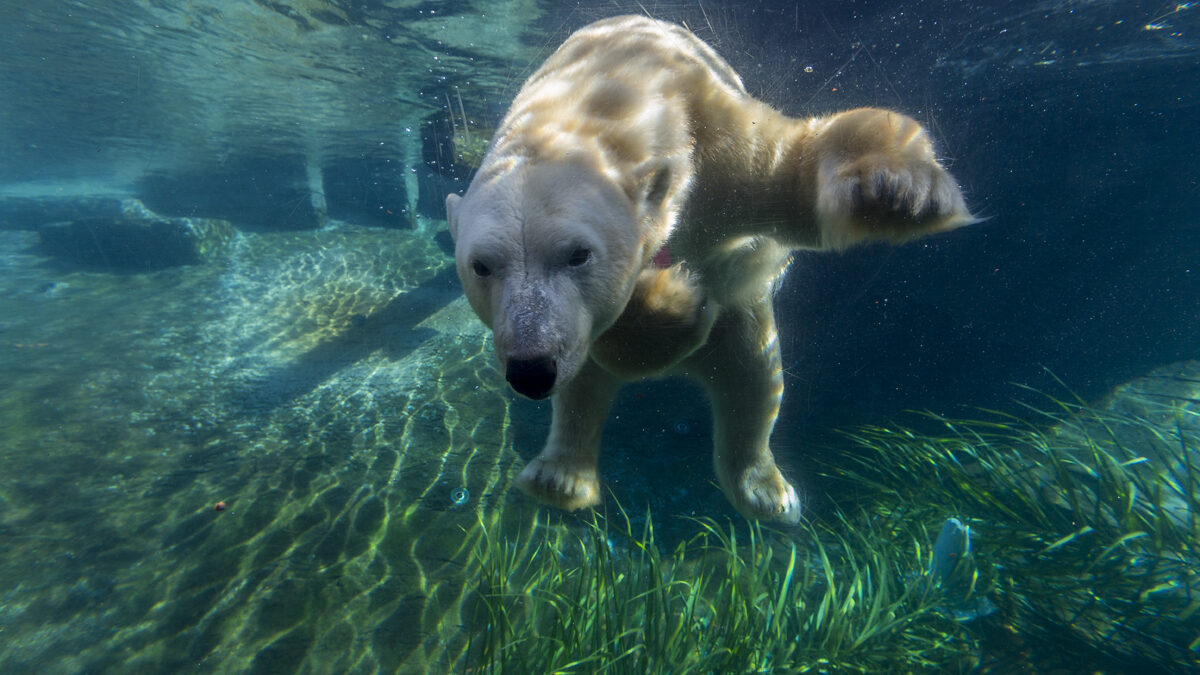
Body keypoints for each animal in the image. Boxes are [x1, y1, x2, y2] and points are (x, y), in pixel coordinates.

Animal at [445, 15, 972, 523]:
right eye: (481, 266)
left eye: (578, 254)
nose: (531, 370)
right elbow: (622, 333)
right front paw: (675, 301)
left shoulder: (718, 143)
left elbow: (792, 173)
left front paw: (900, 190)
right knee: (585, 395)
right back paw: (559, 479)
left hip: (746, 322)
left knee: (753, 385)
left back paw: (765, 493)